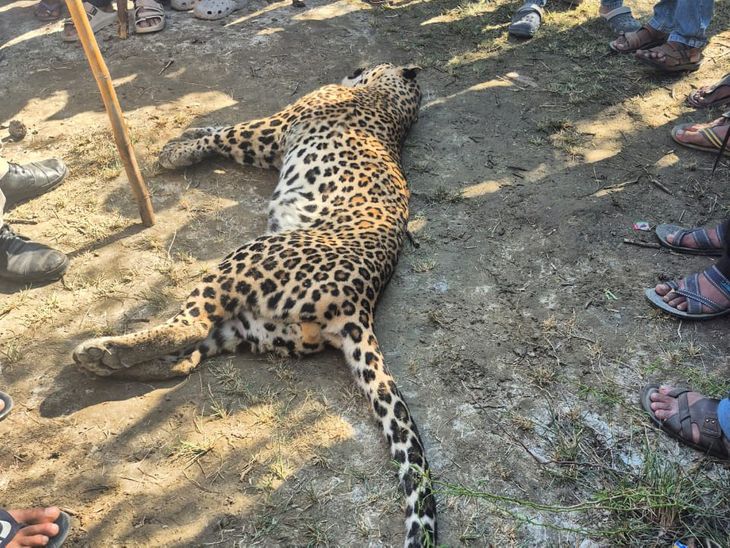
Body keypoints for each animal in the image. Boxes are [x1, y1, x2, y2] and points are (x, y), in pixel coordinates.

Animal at [72, 63, 436, 547]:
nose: (354, 68)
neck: (391, 106)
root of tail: (360, 306)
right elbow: (215, 128)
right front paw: (185, 136)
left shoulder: (271, 130)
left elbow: (226, 132)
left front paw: (177, 151)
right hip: (254, 326)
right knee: (187, 357)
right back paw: (103, 360)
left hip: (246, 257)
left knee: (189, 327)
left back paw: (101, 349)